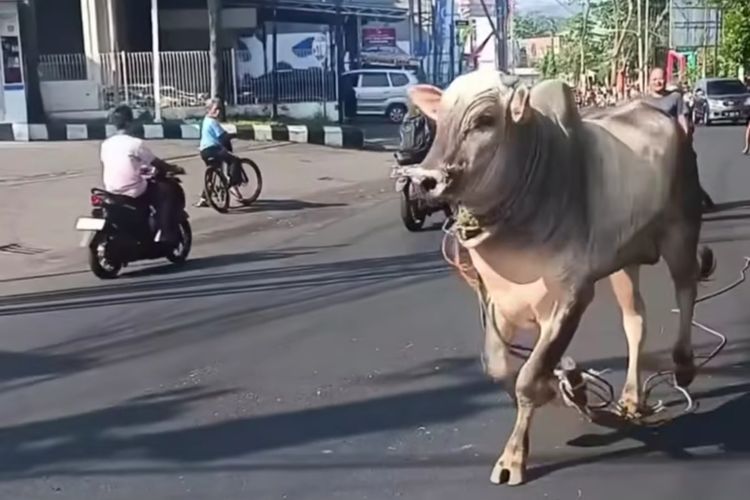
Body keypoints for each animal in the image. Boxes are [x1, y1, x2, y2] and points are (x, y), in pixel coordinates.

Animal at [406, 70, 716, 484]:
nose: (425, 180)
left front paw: (513, 457)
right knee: (636, 321)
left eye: (485, 120)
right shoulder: (496, 300)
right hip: (624, 261)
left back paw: (683, 365)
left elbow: (528, 376)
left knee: (686, 290)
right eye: (439, 118)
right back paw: (631, 397)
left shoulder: (572, 295)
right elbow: (501, 369)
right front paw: (561, 388)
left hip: (681, 229)